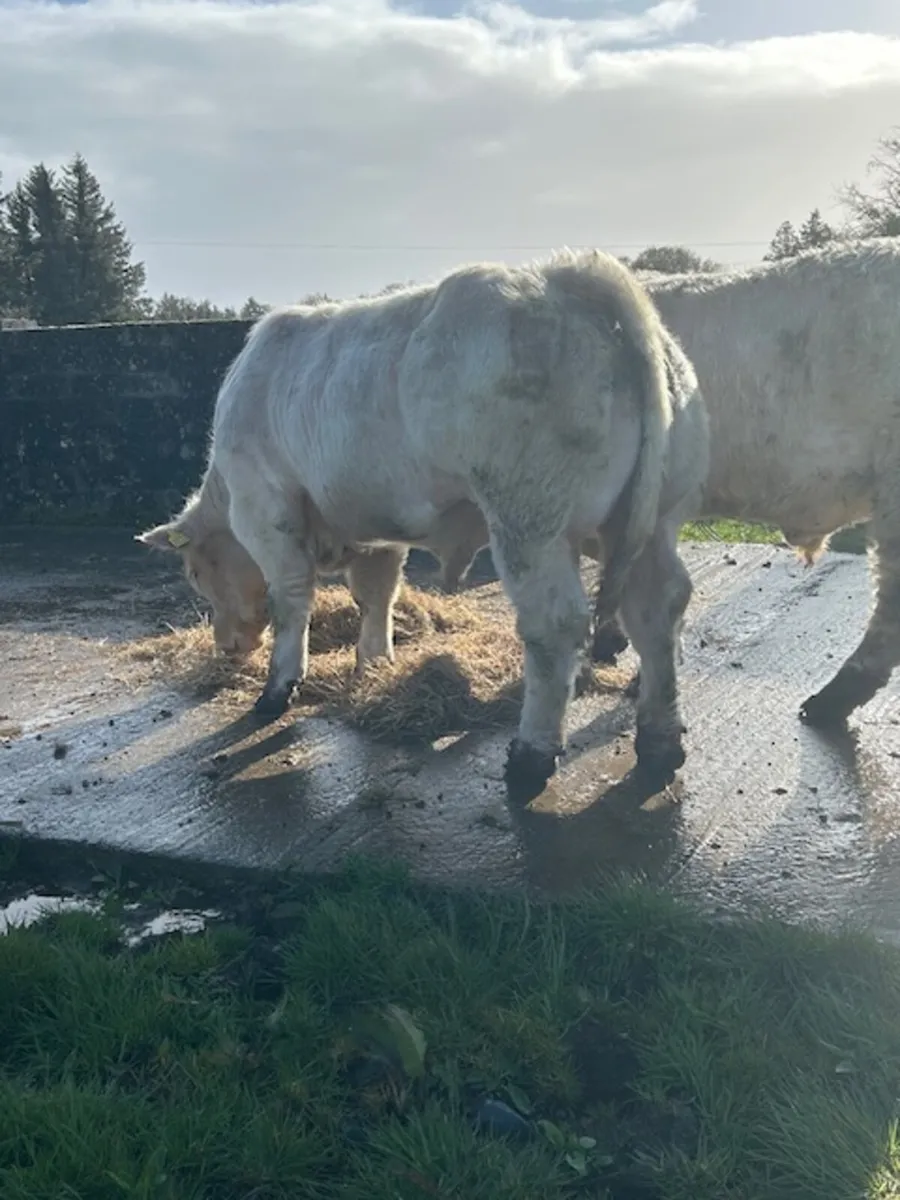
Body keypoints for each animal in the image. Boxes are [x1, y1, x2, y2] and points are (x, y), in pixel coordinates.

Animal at [138, 248, 709, 790]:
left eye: (195, 573)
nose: (226, 646)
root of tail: (574, 276)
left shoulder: (266, 509)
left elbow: (291, 602)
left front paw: (278, 689)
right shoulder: (375, 529)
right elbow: (377, 595)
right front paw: (373, 664)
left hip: (530, 521)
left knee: (556, 624)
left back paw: (531, 757)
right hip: (654, 521)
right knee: (658, 608)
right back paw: (660, 743)